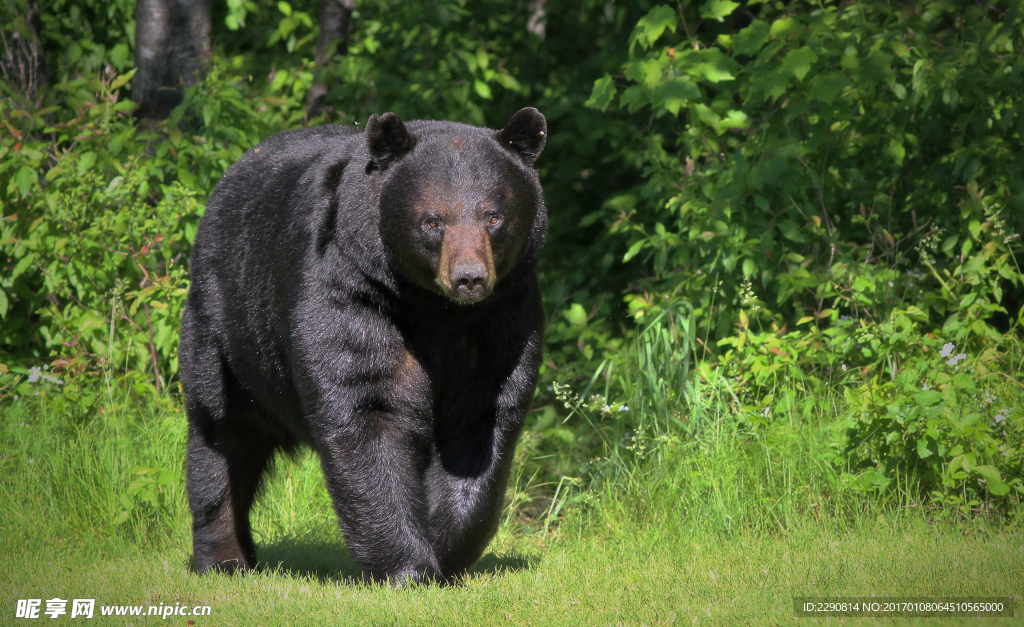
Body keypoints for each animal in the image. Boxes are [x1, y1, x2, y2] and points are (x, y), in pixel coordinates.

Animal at [178, 107, 548, 585]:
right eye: (432, 221)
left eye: (494, 217)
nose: (469, 278)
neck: (435, 310)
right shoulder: (351, 290)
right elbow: (368, 405)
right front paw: (408, 567)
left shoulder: (502, 315)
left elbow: (481, 421)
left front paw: (446, 547)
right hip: (226, 330)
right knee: (221, 437)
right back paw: (225, 560)